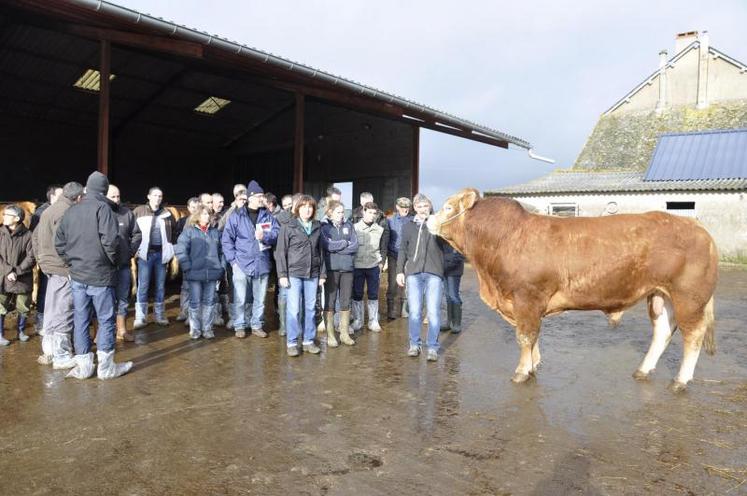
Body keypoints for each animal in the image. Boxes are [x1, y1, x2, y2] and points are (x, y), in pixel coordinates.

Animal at [430, 188, 720, 390]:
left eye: (447, 207)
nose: (429, 220)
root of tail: (698, 227)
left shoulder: (527, 298)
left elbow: (525, 336)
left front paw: (522, 372)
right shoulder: (526, 304)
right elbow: (533, 337)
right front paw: (533, 366)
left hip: (689, 298)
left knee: (692, 336)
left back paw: (680, 380)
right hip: (660, 295)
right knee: (662, 332)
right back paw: (643, 370)